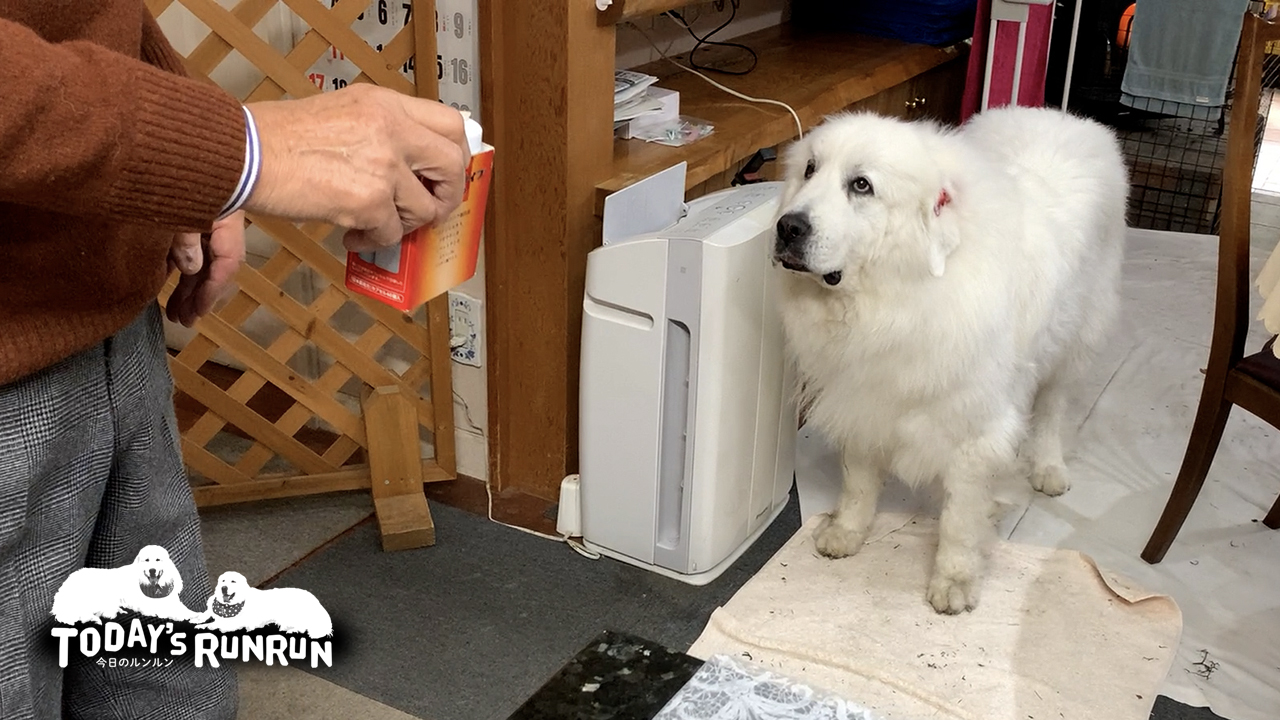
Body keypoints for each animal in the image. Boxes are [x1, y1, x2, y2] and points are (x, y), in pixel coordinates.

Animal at [52, 545, 197, 624]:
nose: (152, 570)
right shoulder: (145, 605)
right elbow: (165, 610)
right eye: (146, 560)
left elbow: (183, 609)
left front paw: (194, 614)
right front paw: (178, 615)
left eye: (158, 560)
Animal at [195, 571, 332, 639]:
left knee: (302, 626)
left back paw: (291, 630)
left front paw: (204, 626)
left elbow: (215, 624)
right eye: (223, 581)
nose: (223, 588)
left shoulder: (234, 623)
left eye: (233, 581)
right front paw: (199, 620)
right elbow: (208, 615)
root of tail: (314, 600)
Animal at [773, 106, 1127, 614]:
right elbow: (858, 480)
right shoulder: (864, 397)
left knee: (1050, 411)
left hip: (1073, 344)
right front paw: (846, 531)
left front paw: (955, 580)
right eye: (809, 170)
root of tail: (1064, 116)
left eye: (861, 185)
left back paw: (1047, 468)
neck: (899, 299)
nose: (787, 227)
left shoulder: (973, 434)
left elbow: (959, 519)